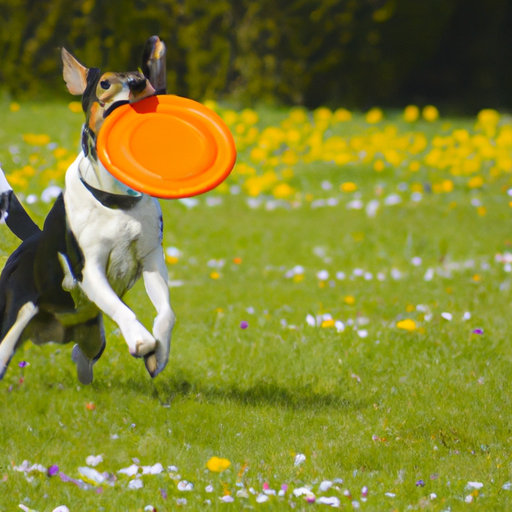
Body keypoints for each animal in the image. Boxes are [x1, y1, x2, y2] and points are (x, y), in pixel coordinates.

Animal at [0, 35, 175, 384]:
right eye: (105, 82)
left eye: (144, 80)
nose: (137, 84)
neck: (117, 199)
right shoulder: (88, 268)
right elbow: (122, 308)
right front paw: (141, 339)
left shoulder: (152, 261)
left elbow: (166, 312)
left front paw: (157, 353)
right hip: (14, 319)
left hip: (92, 336)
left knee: (82, 355)